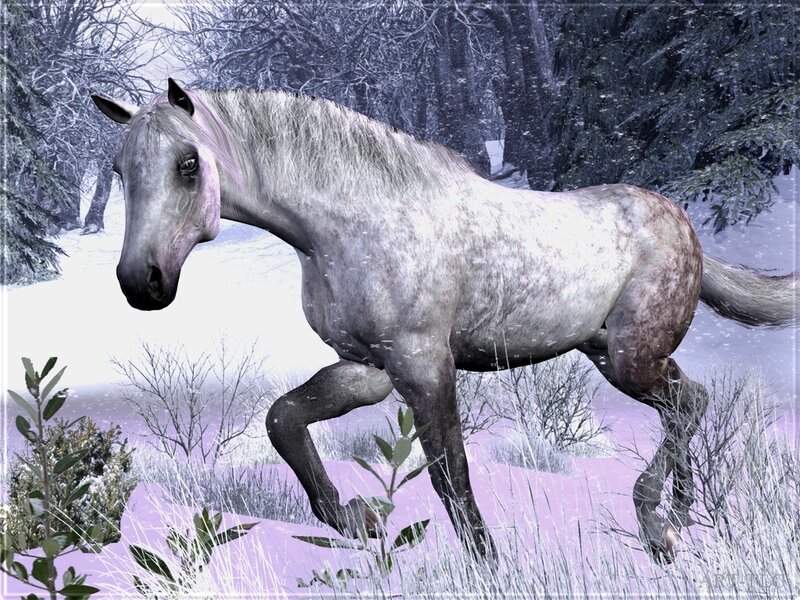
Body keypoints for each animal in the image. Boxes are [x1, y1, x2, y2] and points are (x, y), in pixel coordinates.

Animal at [92, 79, 798, 563]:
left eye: (188, 164)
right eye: (120, 170)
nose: (140, 283)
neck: (349, 224)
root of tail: (683, 224)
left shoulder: (424, 363)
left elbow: (450, 475)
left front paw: (489, 566)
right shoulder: (369, 368)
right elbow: (282, 419)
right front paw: (356, 519)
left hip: (631, 357)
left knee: (690, 402)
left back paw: (659, 525)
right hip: (611, 355)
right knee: (688, 401)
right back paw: (677, 522)